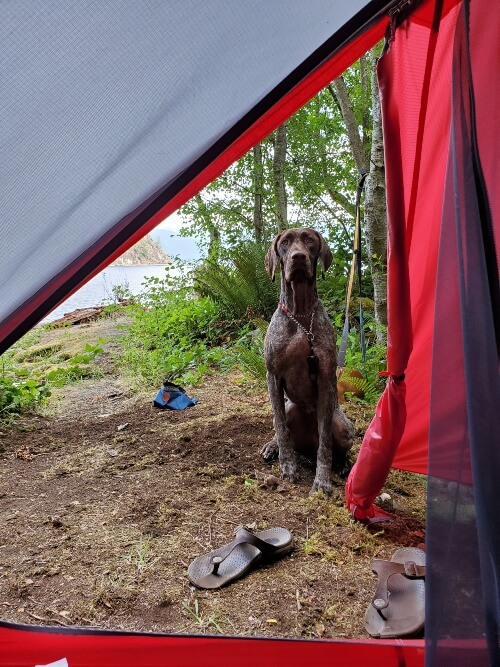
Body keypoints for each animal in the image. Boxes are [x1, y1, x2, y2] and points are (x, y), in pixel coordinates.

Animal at [262, 230, 356, 496]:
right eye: (285, 242)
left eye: (310, 240)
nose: (298, 257)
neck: (301, 314)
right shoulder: (272, 376)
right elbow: (280, 427)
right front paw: (287, 466)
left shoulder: (325, 377)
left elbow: (325, 443)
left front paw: (322, 481)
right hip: (290, 407)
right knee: (282, 427)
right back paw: (273, 446)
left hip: (343, 426)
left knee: (336, 447)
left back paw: (342, 465)